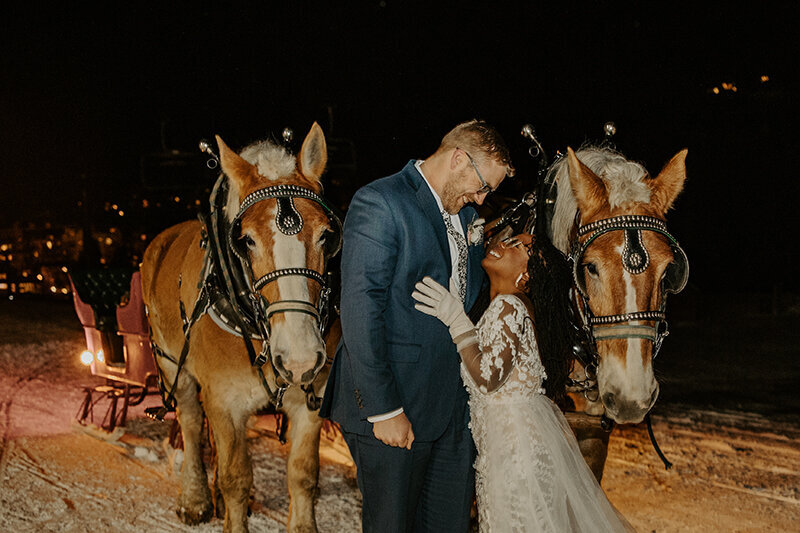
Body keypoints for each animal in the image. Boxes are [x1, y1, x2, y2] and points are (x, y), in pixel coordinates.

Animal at [141, 122, 340, 528]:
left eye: (327, 235)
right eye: (246, 240)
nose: (299, 359)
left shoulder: (311, 400)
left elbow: (302, 474)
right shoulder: (224, 400)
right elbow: (235, 478)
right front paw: (227, 506)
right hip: (171, 365)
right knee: (189, 422)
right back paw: (196, 498)